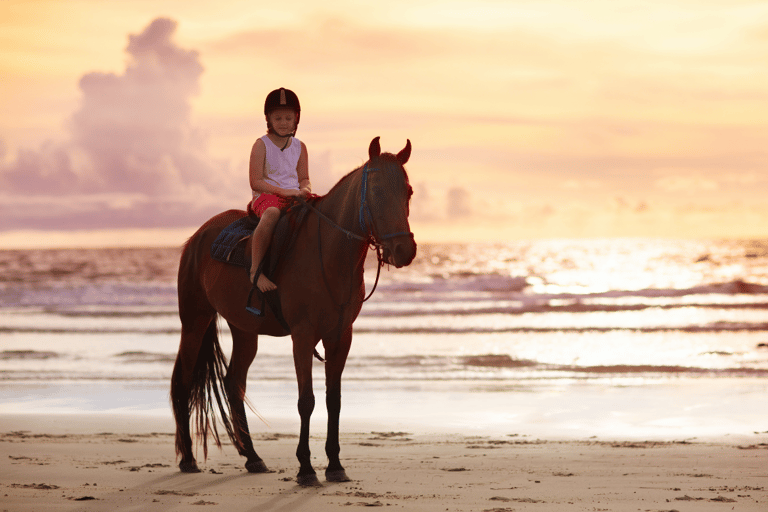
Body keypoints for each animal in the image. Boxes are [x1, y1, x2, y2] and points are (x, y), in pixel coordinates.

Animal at [171, 138, 416, 486]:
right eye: (378, 191)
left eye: (408, 191)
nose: (404, 251)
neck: (328, 253)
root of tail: (197, 237)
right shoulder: (302, 336)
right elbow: (306, 401)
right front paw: (306, 468)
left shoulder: (340, 336)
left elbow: (333, 400)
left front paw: (335, 465)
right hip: (195, 321)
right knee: (184, 380)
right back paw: (189, 459)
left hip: (243, 329)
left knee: (234, 383)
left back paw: (252, 457)